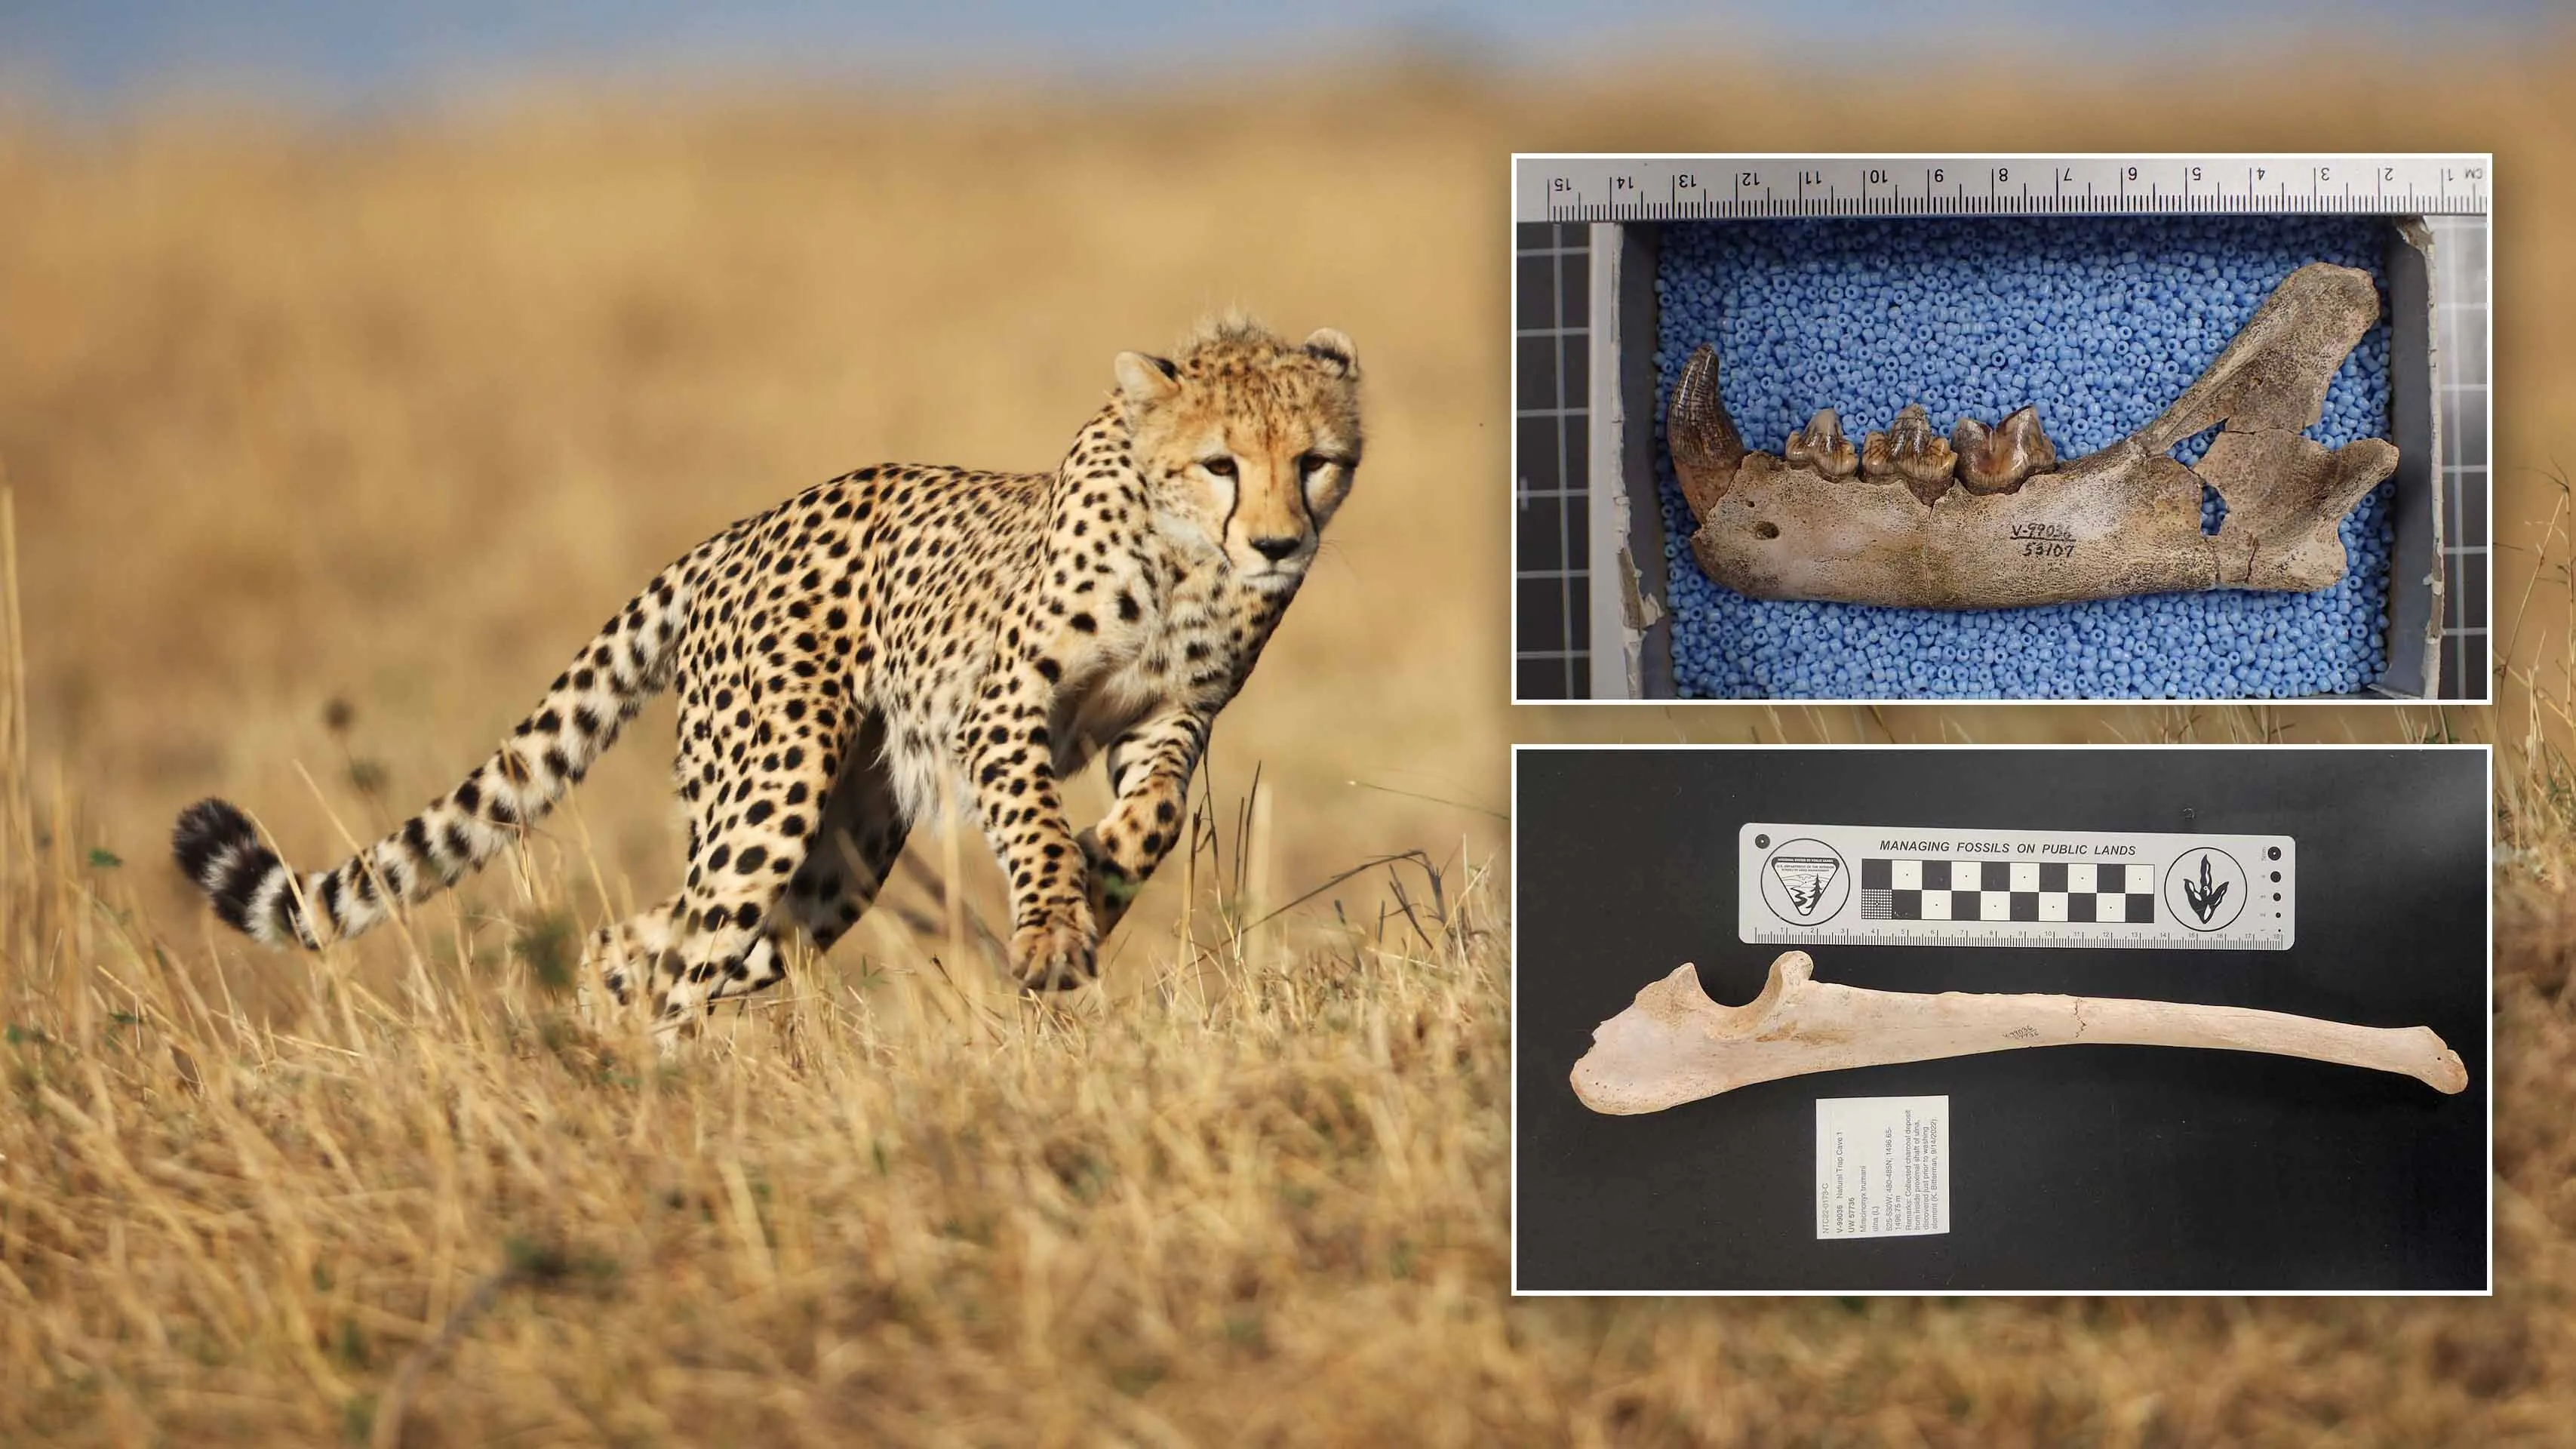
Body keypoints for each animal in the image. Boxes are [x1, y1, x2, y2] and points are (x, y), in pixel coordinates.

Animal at [171, 314, 1363, 1033]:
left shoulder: (1170, 716)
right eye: (1219, 464)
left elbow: (1153, 816)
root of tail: (729, 536)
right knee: (684, 953)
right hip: (773, 792)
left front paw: (1097, 876)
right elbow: (1029, 817)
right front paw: (1054, 924)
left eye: (1314, 462)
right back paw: (660, 1096)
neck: (1186, 562)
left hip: (839, 856)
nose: (1276, 544)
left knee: (642, 942)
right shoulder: (1003, 704)